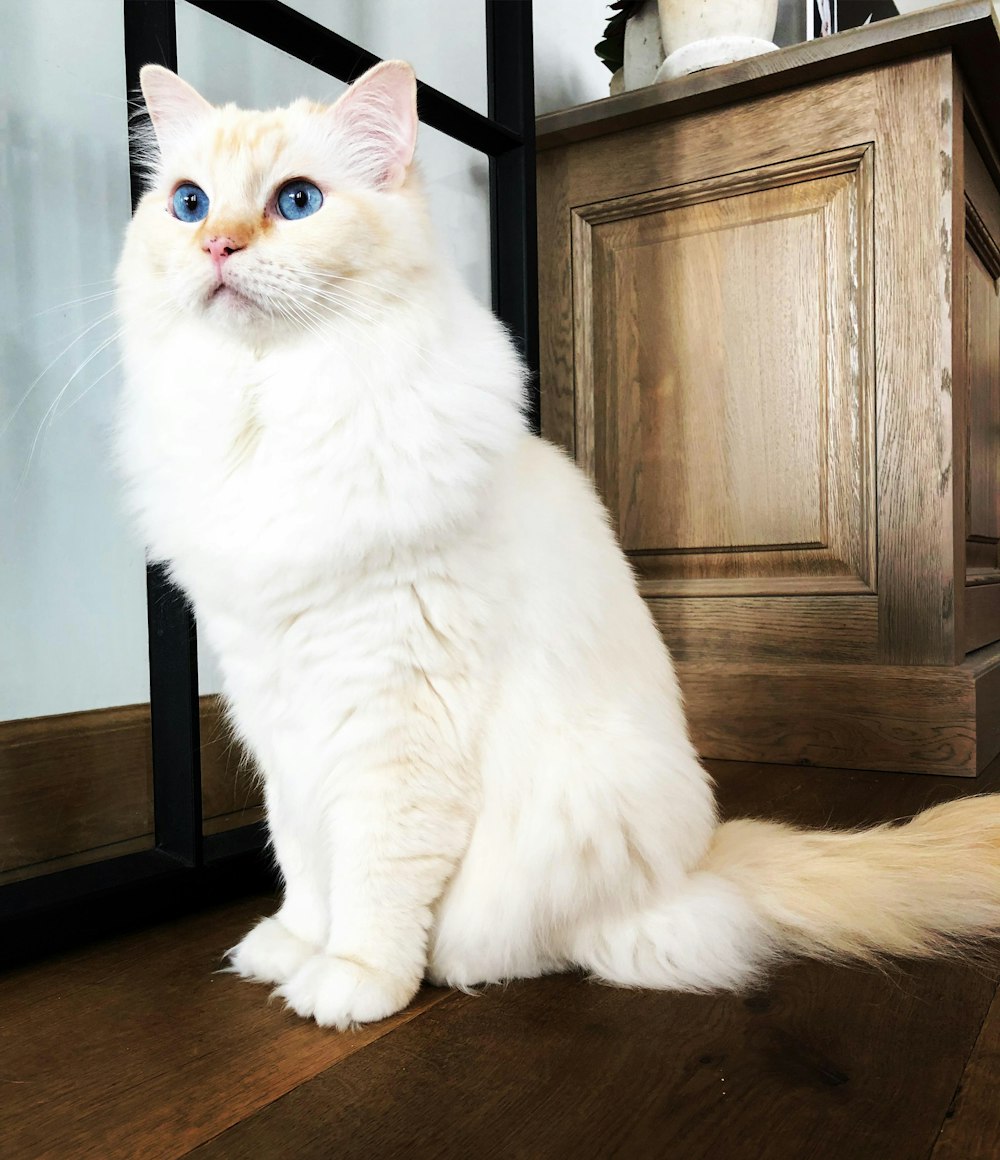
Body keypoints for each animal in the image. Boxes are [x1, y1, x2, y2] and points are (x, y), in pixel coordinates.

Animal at [115, 65, 1000, 1025]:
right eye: (190, 203)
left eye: (298, 201)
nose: (218, 246)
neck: (268, 412)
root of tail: (705, 861)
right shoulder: (276, 706)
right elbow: (303, 856)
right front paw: (292, 946)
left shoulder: (396, 711)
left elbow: (374, 872)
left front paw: (352, 979)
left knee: (563, 942)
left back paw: (450, 966)